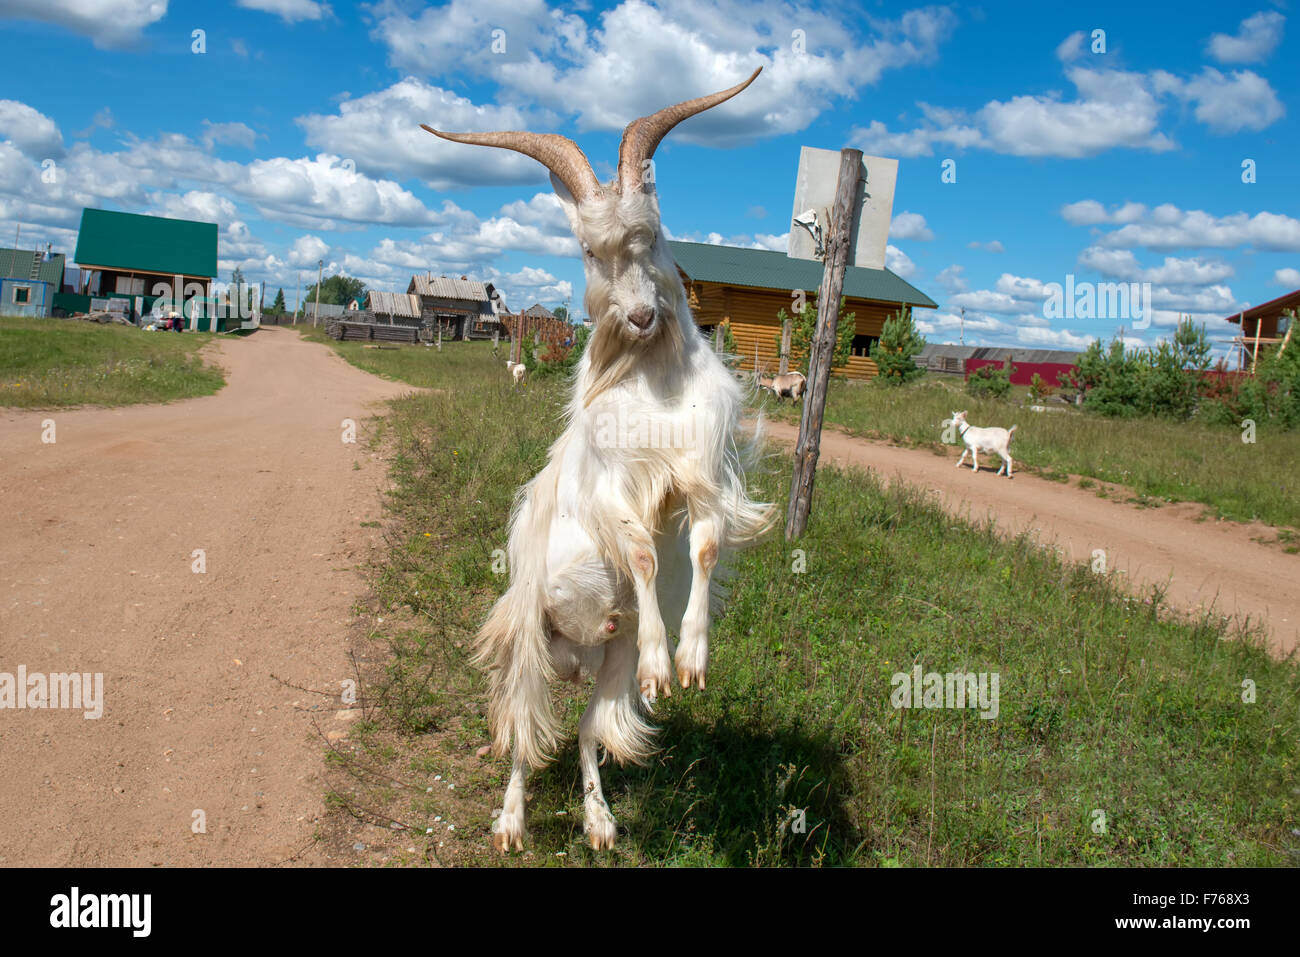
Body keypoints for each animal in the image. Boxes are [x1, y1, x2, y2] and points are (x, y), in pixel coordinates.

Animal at [423, 67, 773, 853]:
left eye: (652, 235)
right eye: (588, 250)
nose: (639, 317)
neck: (654, 385)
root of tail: (576, 653)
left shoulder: (701, 475)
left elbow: (702, 548)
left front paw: (688, 662)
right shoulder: (616, 488)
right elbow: (639, 552)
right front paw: (662, 663)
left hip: (605, 663)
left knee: (585, 731)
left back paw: (600, 822)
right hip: (528, 642)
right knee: (523, 736)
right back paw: (512, 824)